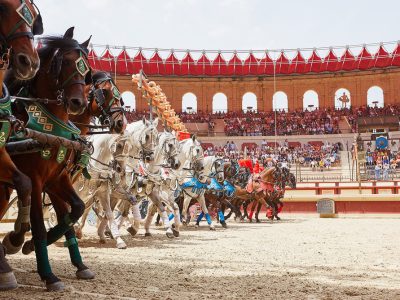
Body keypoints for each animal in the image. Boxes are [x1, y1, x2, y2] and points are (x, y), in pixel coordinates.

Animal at [0, 27, 92, 290]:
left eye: (86, 70)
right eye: (65, 62)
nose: (78, 102)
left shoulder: (57, 179)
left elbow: (75, 210)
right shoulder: (36, 180)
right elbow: (39, 226)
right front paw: (48, 275)